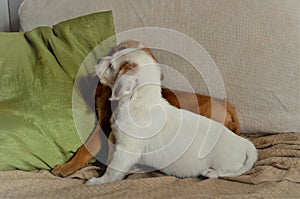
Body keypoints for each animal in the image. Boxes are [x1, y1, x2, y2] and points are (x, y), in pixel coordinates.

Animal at [87, 48, 258, 185]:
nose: (98, 60)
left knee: (230, 171)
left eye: (111, 66)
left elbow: (112, 170)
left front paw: (98, 181)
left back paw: (210, 173)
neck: (139, 101)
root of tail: (244, 143)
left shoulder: (125, 150)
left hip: (226, 163)